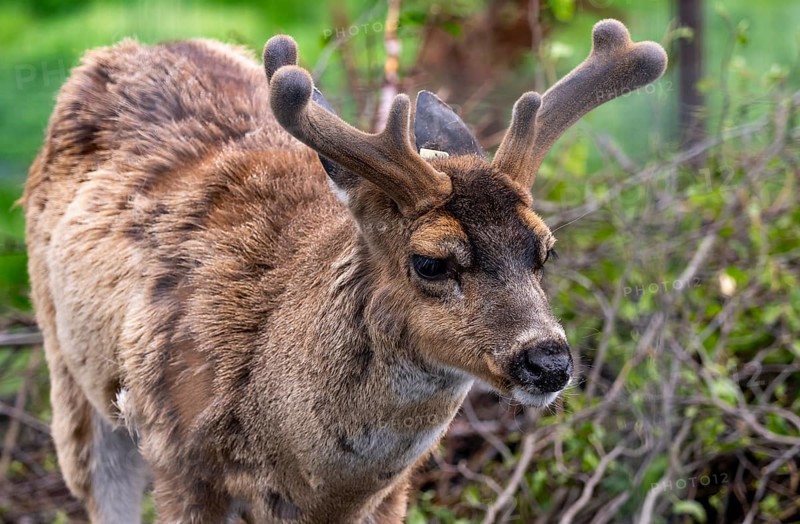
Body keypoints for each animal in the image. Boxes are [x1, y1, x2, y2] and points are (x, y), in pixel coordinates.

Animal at [23, 18, 666, 523]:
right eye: (430, 262)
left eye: (544, 250)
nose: (548, 361)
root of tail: (118, 52)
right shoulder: (179, 456)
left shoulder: (390, 494)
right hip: (73, 377)